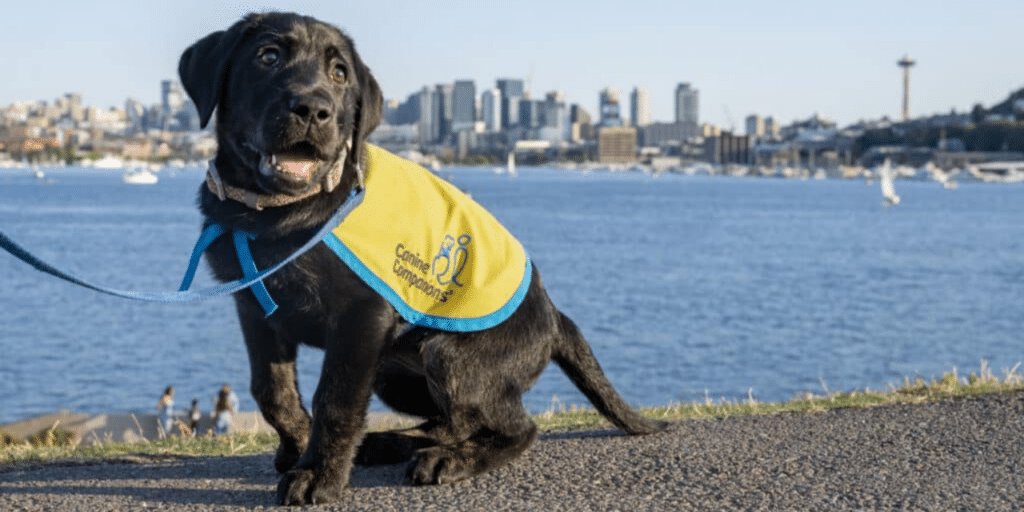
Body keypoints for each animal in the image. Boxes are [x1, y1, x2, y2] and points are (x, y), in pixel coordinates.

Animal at [180, 11, 667, 503]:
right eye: (268, 56)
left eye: (340, 74)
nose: (315, 110)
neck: (277, 214)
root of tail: (553, 315)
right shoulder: (255, 310)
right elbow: (271, 391)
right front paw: (298, 445)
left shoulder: (361, 317)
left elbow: (335, 399)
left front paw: (320, 474)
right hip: (391, 372)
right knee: (453, 421)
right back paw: (393, 443)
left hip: (449, 356)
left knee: (515, 428)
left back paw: (449, 460)